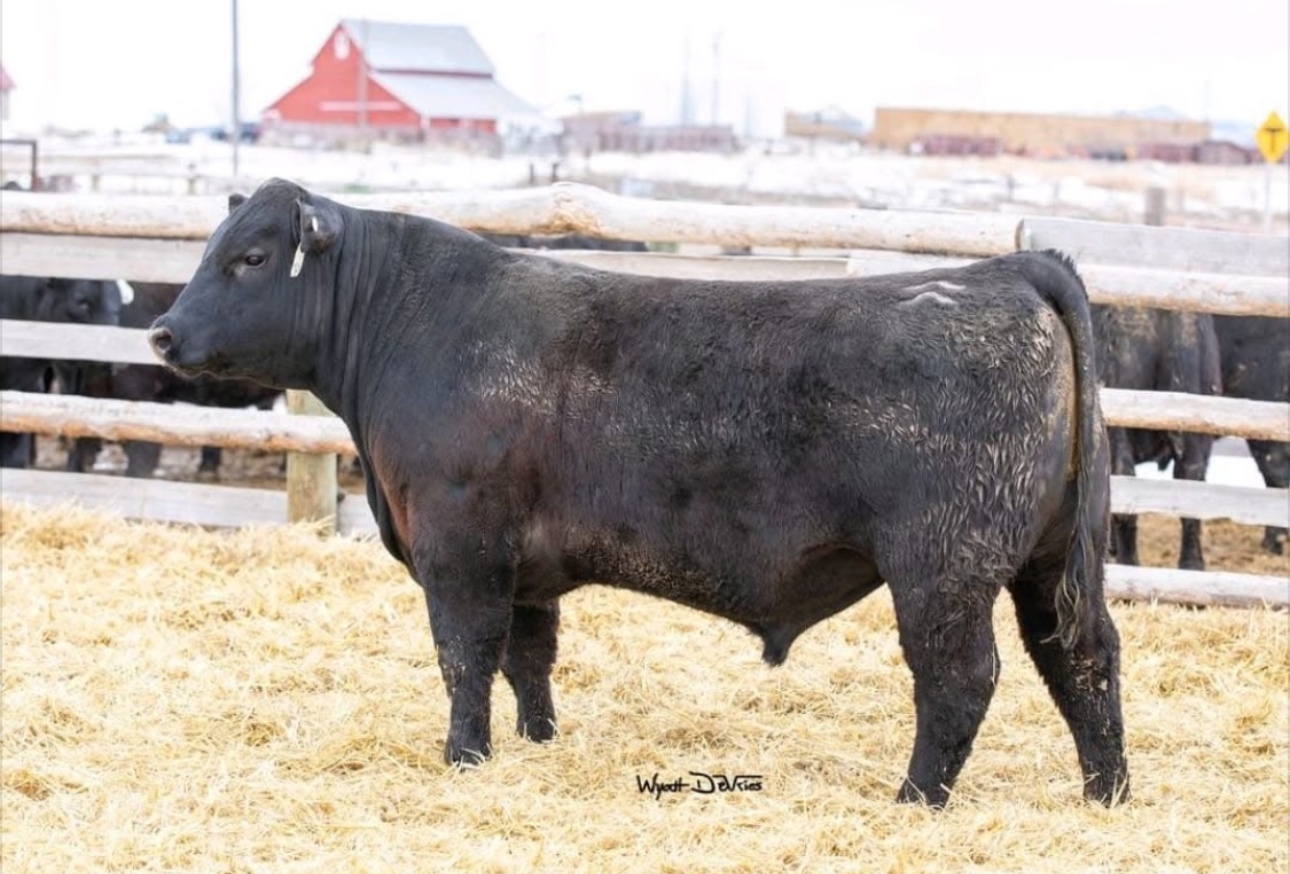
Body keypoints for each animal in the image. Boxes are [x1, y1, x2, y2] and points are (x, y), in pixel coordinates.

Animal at [148, 178, 1129, 808]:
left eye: (251, 257)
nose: (160, 332)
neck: (409, 325)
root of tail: (1007, 269)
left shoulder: (460, 543)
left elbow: (465, 657)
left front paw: (465, 759)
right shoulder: (524, 564)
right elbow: (528, 658)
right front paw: (538, 743)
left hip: (943, 567)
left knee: (961, 678)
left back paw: (916, 799)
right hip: (1049, 559)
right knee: (1083, 658)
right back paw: (1106, 792)